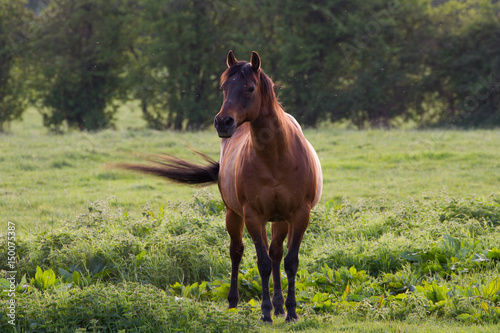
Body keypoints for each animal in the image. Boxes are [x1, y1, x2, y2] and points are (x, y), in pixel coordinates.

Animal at [119, 51, 322, 322]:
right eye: (224, 87)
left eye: (250, 87)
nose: (223, 122)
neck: (277, 157)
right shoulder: (253, 215)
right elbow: (262, 263)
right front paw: (265, 312)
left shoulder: (300, 214)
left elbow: (290, 261)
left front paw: (290, 312)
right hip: (233, 214)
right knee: (237, 252)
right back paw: (235, 303)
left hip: (280, 219)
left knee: (277, 253)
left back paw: (279, 306)